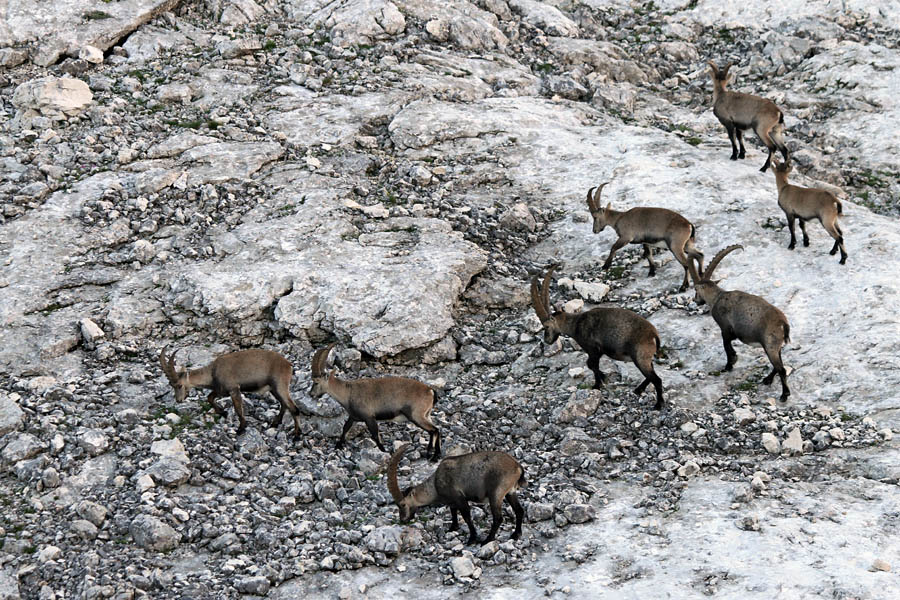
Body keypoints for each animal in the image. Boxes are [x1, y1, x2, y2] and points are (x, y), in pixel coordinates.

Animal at [159, 347, 301, 437]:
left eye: (179, 385)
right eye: (171, 385)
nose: (178, 400)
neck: (213, 372)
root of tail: (288, 364)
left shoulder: (234, 389)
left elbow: (238, 410)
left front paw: (241, 429)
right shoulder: (220, 390)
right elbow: (209, 398)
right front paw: (223, 412)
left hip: (280, 385)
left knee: (293, 408)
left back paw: (296, 435)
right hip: (274, 389)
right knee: (284, 404)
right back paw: (276, 422)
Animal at [309, 344, 442, 461]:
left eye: (316, 382)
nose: (311, 394)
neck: (348, 392)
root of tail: (430, 391)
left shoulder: (369, 417)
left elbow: (375, 435)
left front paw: (384, 451)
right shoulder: (354, 416)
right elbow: (345, 428)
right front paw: (338, 445)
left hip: (416, 415)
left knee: (434, 430)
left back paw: (433, 455)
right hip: (426, 414)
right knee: (436, 430)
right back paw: (433, 454)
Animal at [387, 444, 525, 545]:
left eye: (402, 504)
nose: (403, 520)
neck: (435, 484)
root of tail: (517, 467)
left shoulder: (459, 497)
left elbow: (466, 516)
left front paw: (472, 538)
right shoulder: (452, 501)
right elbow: (453, 511)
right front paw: (453, 527)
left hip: (496, 493)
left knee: (498, 518)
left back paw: (487, 540)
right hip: (510, 492)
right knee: (519, 510)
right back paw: (516, 534)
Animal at [531, 266, 665, 409]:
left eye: (546, 326)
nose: (547, 340)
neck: (576, 324)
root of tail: (653, 334)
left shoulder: (593, 350)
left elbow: (592, 365)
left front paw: (597, 384)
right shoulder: (598, 352)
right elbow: (591, 365)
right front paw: (603, 378)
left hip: (640, 358)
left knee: (656, 379)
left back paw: (658, 404)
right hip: (645, 359)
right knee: (651, 374)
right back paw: (638, 390)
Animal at [688, 245, 792, 401]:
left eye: (696, 289)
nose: (696, 301)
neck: (718, 298)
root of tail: (783, 323)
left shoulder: (725, 328)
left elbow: (726, 345)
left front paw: (730, 364)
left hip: (770, 346)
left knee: (782, 369)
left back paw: (784, 394)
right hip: (775, 346)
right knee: (778, 366)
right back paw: (767, 379)